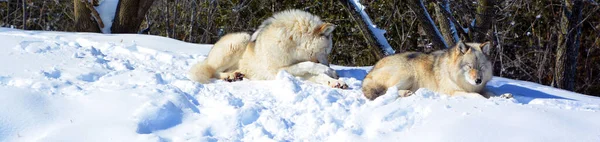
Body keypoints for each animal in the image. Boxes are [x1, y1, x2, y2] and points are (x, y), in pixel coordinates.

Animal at [364, 41, 504, 100]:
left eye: (481, 67)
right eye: (469, 66)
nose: (478, 80)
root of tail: (370, 72)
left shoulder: (480, 88)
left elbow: (490, 92)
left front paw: (504, 96)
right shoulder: (452, 92)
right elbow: (477, 95)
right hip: (408, 74)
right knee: (387, 91)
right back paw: (405, 93)